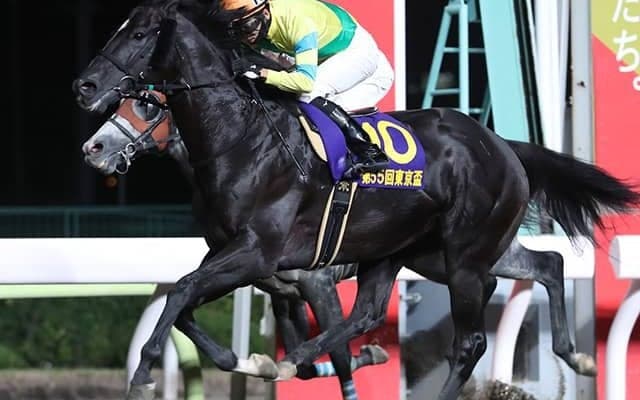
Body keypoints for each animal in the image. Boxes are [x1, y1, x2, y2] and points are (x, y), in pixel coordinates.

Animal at [72, 1, 640, 399]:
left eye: (140, 35)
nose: (85, 86)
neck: (242, 140)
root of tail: (501, 145)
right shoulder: (238, 257)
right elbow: (183, 302)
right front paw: (252, 360)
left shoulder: (262, 255)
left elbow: (184, 291)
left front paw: (144, 373)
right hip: (420, 253)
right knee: (531, 269)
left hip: (465, 255)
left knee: (470, 341)